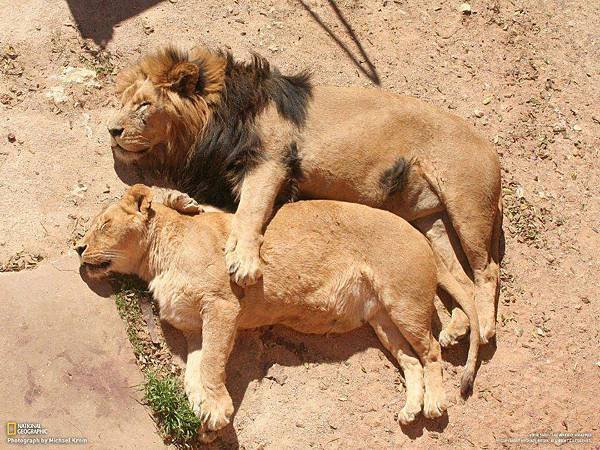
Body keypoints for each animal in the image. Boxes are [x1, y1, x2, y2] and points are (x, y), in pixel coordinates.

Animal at [77, 185, 478, 438]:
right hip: (381, 320)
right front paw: (201, 412)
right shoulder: (194, 329)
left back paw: (435, 404)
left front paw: (217, 409)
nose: (78, 247)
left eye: (104, 225)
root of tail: (420, 234)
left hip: (404, 302)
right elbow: (193, 372)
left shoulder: (222, 306)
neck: (155, 261)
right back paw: (411, 409)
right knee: (411, 360)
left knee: (432, 351)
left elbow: (211, 364)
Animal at [108, 45, 502, 342]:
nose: (112, 130)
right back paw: (458, 327)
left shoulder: (272, 160)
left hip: (468, 206)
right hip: (429, 221)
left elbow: (250, 211)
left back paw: (485, 327)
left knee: (487, 270)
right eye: (123, 102)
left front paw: (244, 261)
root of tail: (490, 146)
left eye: (144, 105)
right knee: (460, 279)